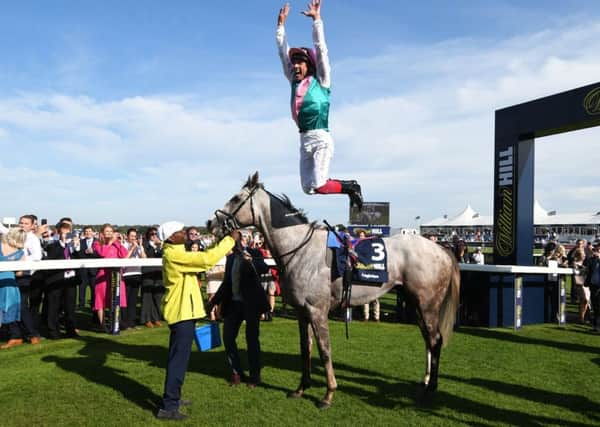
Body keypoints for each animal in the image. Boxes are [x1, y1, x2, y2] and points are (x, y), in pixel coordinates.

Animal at [206, 173, 460, 408]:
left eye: (236, 198)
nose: (210, 223)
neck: (300, 249)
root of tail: (441, 249)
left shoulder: (317, 310)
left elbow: (324, 350)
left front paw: (328, 394)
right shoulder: (302, 311)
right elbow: (305, 349)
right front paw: (301, 388)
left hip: (427, 305)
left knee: (435, 340)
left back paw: (430, 389)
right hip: (414, 303)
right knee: (428, 340)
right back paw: (424, 382)